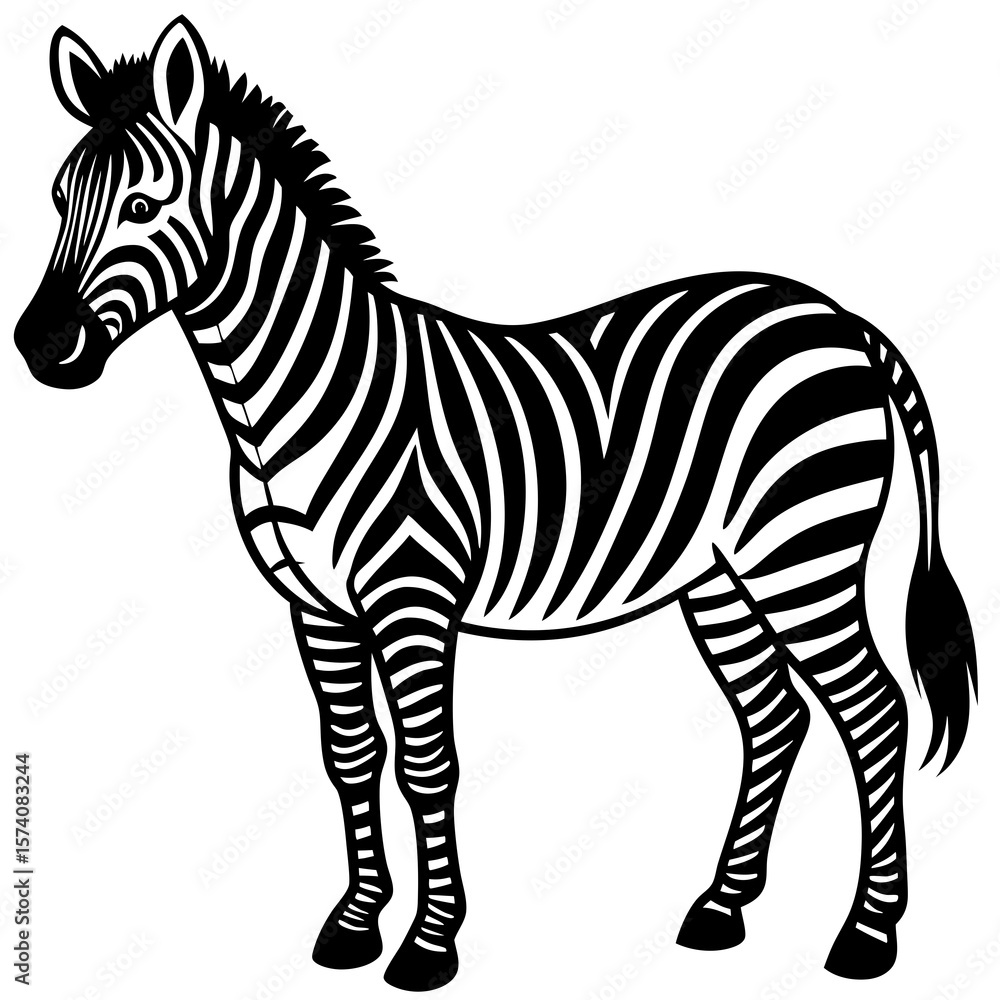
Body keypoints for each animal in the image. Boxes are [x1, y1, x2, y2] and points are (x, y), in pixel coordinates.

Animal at [15, 17, 977, 992]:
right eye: (57, 198)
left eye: (144, 206)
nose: (40, 346)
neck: (282, 401)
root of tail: (839, 316)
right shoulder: (316, 608)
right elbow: (351, 758)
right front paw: (356, 923)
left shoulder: (411, 595)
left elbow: (427, 764)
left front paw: (429, 943)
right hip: (721, 577)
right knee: (774, 717)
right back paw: (721, 908)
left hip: (802, 554)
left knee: (875, 714)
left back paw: (868, 934)